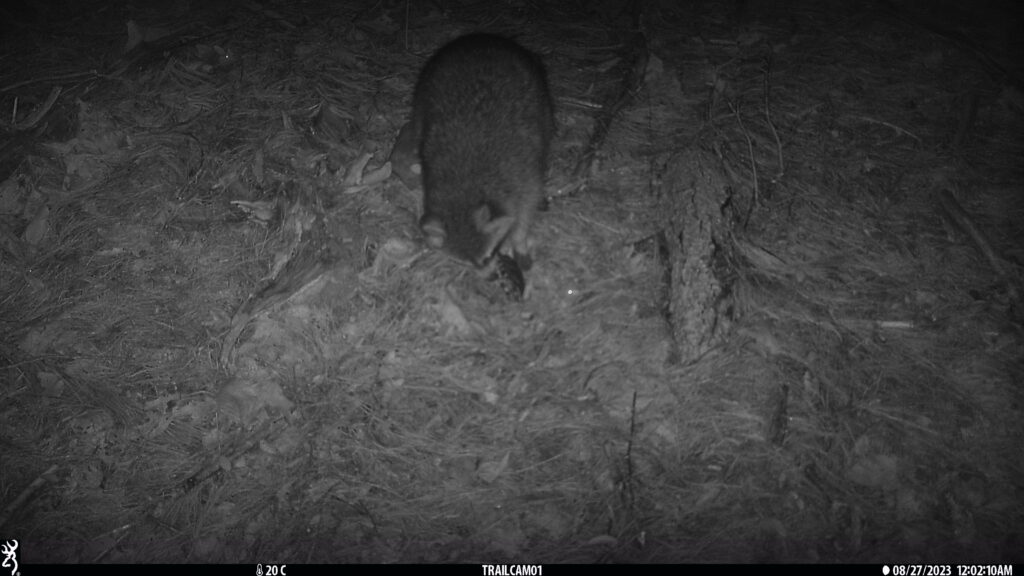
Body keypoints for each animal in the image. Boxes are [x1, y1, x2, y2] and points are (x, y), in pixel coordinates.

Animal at [409, 33, 557, 268]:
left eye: (491, 253)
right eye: (470, 263)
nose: (490, 274)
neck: (465, 188)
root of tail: (482, 40)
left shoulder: (524, 178)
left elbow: (526, 210)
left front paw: (519, 240)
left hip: (542, 97)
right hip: (422, 94)